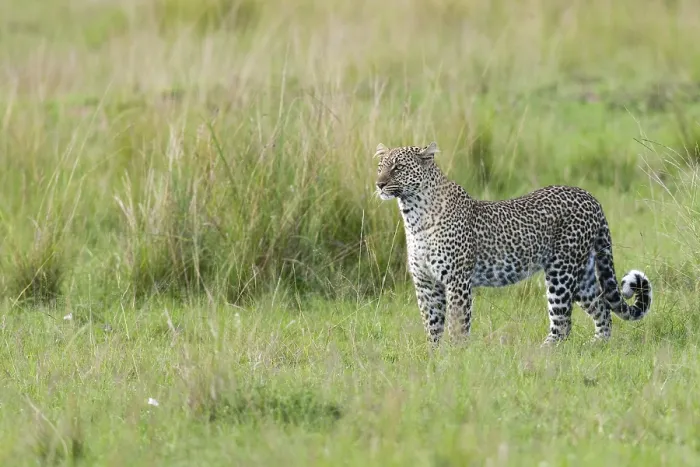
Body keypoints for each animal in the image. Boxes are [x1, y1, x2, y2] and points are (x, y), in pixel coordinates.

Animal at [374, 141, 652, 346]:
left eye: (398, 167)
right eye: (379, 167)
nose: (379, 184)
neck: (414, 216)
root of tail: (590, 197)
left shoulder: (457, 280)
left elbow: (457, 324)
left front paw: (456, 356)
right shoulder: (426, 283)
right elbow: (432, 325)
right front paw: (434, 356)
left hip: (561, 271)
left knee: (563, 323)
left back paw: (543, 352)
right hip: (582, 273)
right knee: (602, 307)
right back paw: (597, 345)